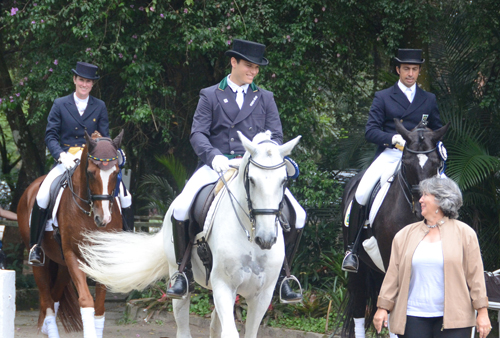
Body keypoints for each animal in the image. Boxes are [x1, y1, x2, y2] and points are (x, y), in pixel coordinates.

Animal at [17, 130, 124, 338]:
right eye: (90, 173)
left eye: (115, 172)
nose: (103, 219)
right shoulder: (73, 255)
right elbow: (86, 300)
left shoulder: (102, 259)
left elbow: (99, 307)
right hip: (40, 262)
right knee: (47, 301)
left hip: (63, 266)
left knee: (55, 296)